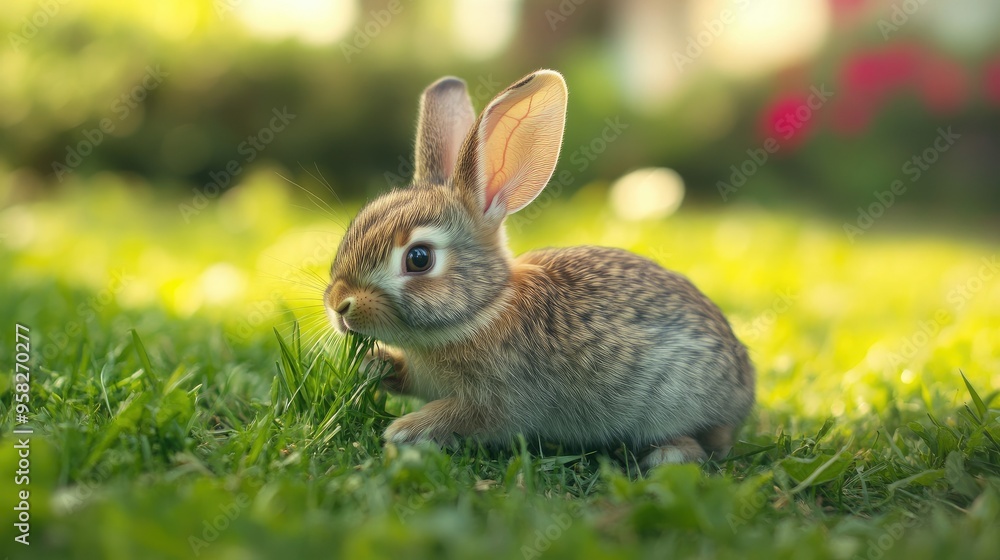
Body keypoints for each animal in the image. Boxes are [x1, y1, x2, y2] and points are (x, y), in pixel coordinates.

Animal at [324, 70, 755, 468]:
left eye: (419, 258)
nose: (339, 304)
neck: (484, 311)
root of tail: (744, 383)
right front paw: (373, 365)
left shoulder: (500, 401)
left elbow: (469, 417)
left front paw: (405, 430)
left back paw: (668, 454)